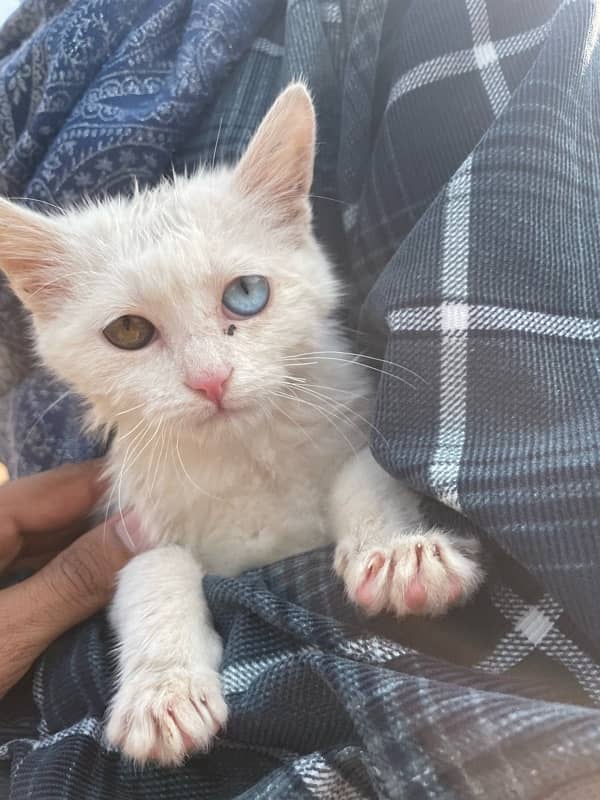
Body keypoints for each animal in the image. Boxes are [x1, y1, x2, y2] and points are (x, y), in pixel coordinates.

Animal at [0, 84, 482, 764]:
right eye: (129, 331)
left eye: (247, 294)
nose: (210, 380)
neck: (245, 454)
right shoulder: (134, 517)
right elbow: (152, 570)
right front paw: (163, 691)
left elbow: (365, 470)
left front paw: (399, 553)